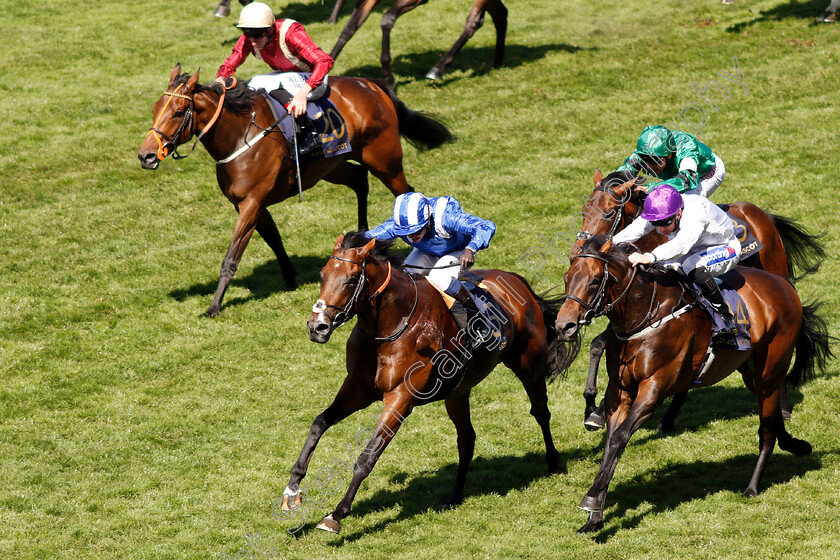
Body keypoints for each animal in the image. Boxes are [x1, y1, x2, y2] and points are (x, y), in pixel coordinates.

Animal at [139, 64, 452, 318]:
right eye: (154, 108)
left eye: (178, 112)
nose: (146, 156)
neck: (240, 137)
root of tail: (372, 85)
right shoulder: (252, 204)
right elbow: (274, 239)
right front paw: (289, 278)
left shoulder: (251, 203)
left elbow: (231, 258)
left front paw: (214, 306)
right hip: (331, 166)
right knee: (359, 179)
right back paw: (362, 237)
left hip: (385, 161)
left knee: (406, 193)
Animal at [282, 232, 564, 532]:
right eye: (322, 275)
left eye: (350, 279)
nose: (317, 327)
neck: (392, 325)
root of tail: (517, 280)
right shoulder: (358, 389)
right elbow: (319, 423)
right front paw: (292, 490)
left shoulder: (400, 399)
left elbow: (367, 456)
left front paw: (336, 515)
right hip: (457, 393)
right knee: (467, 439)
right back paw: (455, 496)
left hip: (529, 367)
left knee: (541, 412)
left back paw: (554, 462)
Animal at [328, 0, 506, 83]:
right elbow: (348, 30)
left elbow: (387, 19)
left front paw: (387, 75)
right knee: (500, 13)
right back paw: (498, 62)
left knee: (474, 22)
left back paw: (438, 68)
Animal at [556, 236, 832, 532]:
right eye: (567, 278)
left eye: (595, 280)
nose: (564, 326)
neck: (645, 316)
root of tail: (785, 286)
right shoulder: (619, 391)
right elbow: (611, 443)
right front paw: (594, 517)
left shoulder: (653, 389)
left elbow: (619, 437)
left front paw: (591, 499)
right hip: (751, 373)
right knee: (771, 419)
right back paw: (797, 446)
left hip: (771, 369)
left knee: (766, 430)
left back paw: (752, 486)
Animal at [572, 168, 820, 430]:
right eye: (585, 210)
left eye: (609, 212)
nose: (577, 251)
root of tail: (764, 215)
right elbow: (598, 344)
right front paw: (595, 409)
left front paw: (598, 410)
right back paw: (668, 418)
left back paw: (782, 408)